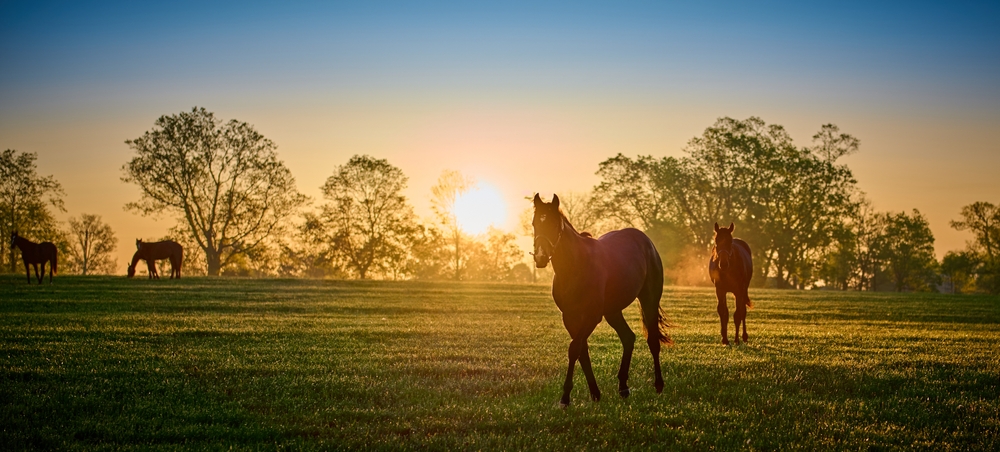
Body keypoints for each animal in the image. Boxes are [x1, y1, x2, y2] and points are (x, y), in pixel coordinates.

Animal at [532, 192, 672, 408]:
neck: (575, 266)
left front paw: (565, 397)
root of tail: (645, 241)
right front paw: (595, 393)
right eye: (534, 224)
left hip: (649, 300)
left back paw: (658, 385)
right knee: (628, 338)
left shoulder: (592, 316)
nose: (540, 256)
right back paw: (623, 387)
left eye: (554, 224)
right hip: (613, 311)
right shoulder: (570, 317)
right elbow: (582, 350)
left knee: (652, 340)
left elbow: (574, 348)